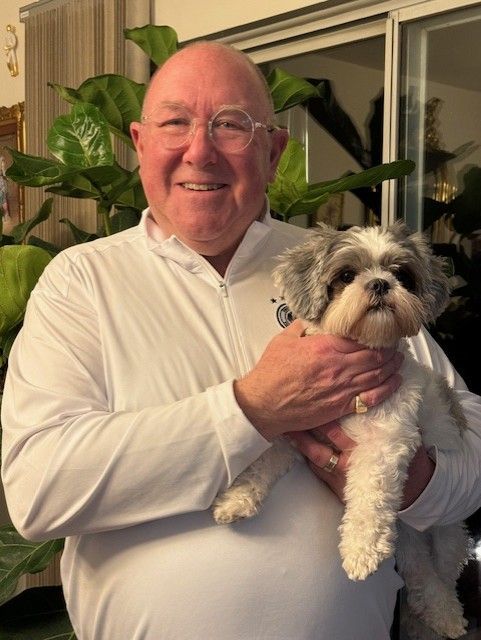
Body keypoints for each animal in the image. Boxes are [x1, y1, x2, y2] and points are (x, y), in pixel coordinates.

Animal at [212, 222, 470, 639]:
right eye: (347, 275)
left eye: (402, 275)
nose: (380, 283)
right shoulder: (292, 424)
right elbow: (262, 461)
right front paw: (237, 498)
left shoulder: (385, 442)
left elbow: (369, 496)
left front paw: (360, 548)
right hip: (408, 543)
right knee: (420, 578)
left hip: (444, 533)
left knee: (441, 574)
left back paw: (447, 614)